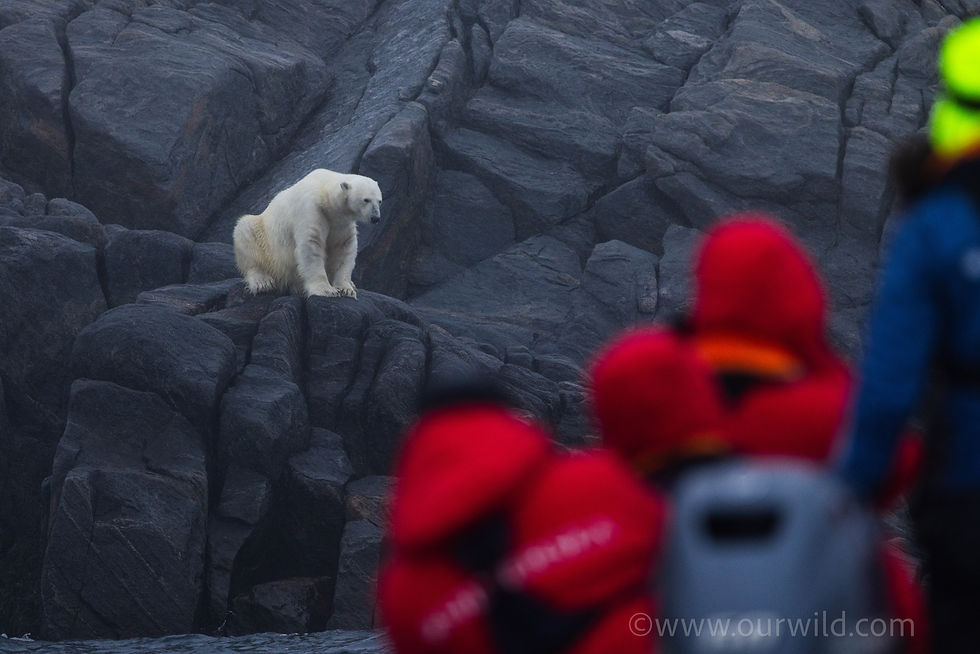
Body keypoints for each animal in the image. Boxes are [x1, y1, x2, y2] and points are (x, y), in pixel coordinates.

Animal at [233, 168, 382, 298]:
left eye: (379, 201)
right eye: (366, 200)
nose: (376, 218)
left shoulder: (341, 222)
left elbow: (344, 247)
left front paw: (346, 289)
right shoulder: (311, 209)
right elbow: (311, 245)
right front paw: (326, 290)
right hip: (267, 244)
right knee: (245, 233)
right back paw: (262, 282)